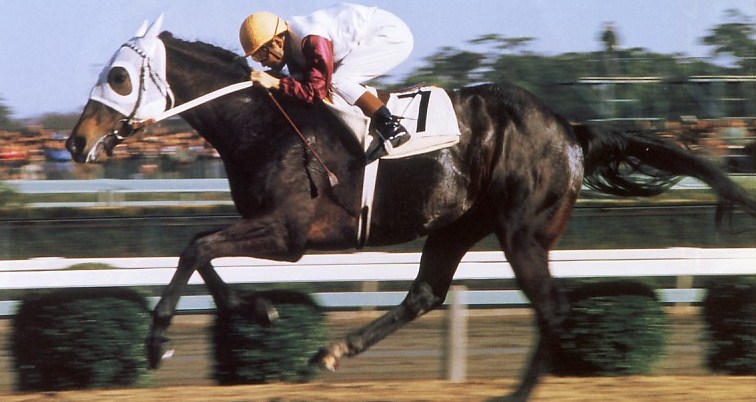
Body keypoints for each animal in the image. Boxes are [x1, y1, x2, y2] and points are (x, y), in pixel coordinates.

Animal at [68, 22, 752, 402]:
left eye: (120, 77)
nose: (74, 143)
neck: (265, 123)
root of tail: (571, 130)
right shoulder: (278, 231)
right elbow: (201, 247)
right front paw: (257, 311)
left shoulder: (289, 232)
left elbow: (197, 245)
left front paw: (162, 341)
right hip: (456, 225)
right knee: (425, 294)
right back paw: (332, 353)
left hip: (522, 232)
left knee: (551, 308)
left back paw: (515, 394)